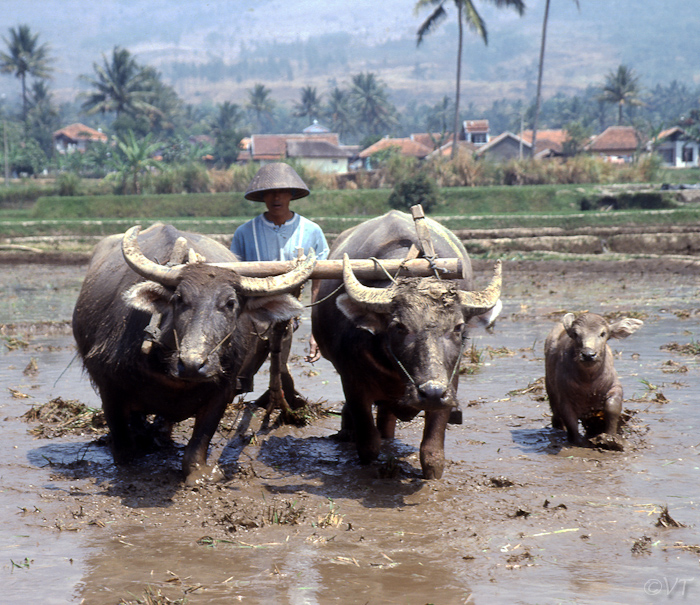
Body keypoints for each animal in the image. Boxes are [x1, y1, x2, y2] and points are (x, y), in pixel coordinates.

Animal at [72, 224, 314, 484]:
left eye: (230, 303)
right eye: (179, 298)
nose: (191, 364)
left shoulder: (223, 389)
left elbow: (199, 443)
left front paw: (201, 475)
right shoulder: (108, 388)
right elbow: (123, 446)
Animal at [314, 210, 504, 478]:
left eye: (458, 327)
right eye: (399, 327)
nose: (431, 391)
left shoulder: (449, 384)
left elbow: (432, 453)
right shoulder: (352, 384)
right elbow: (368, 444)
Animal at [544, 312, 644, 448]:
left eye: (603, 333)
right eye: (576, 333)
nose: (588, 354)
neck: (589, 381)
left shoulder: (615, 387)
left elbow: (612, 407)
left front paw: (610, 437)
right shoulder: (564, 397)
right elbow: (570, 419)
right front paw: (577, 441)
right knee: (557, 417)